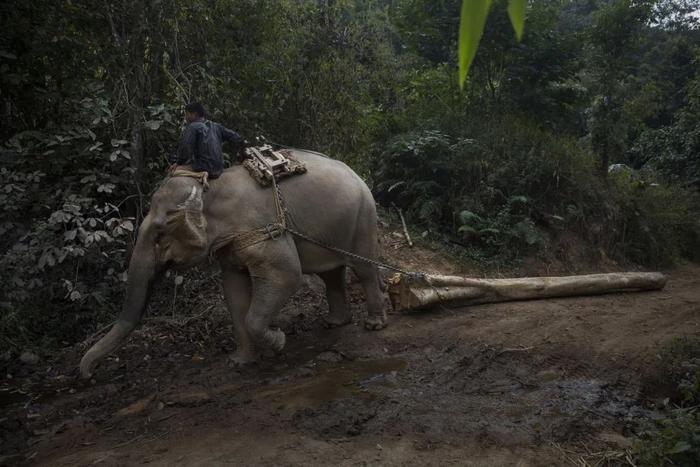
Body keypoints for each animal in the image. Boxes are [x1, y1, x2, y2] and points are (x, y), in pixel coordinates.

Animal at [82, 150, 388, 380]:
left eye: (160, 234)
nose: (88, 374)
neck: (209, 188)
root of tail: (355, 173)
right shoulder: (229, 244)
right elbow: (234, 291)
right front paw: (240, 362)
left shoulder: (264, 227)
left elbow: (286, 275)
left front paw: (278, 342)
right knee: (331, 273)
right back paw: (334, 322)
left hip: (363, 216)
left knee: (363, 269)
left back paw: (373, 325)